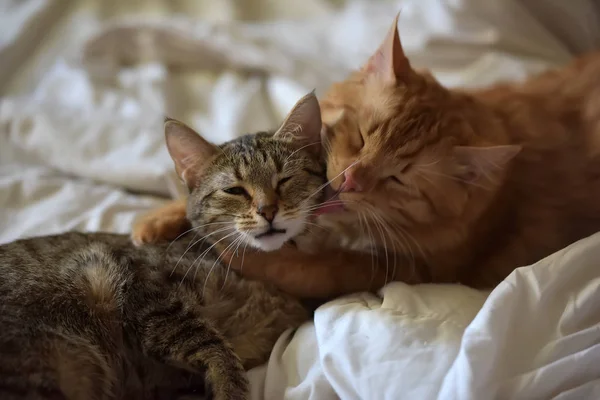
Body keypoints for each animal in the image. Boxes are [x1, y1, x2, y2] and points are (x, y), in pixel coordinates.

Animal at [0, 92, 326, 398]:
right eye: (235, 190)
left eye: (284, 180)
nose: (267, 210)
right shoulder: (146, 293)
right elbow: (216, 350)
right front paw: (231, 389)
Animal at [134, 15, 600, 296]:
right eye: (360, 137)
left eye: (399, 178)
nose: (349, 180)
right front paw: (158, 219)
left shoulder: (412, 270)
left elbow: (317, 267)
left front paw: (244, 254)